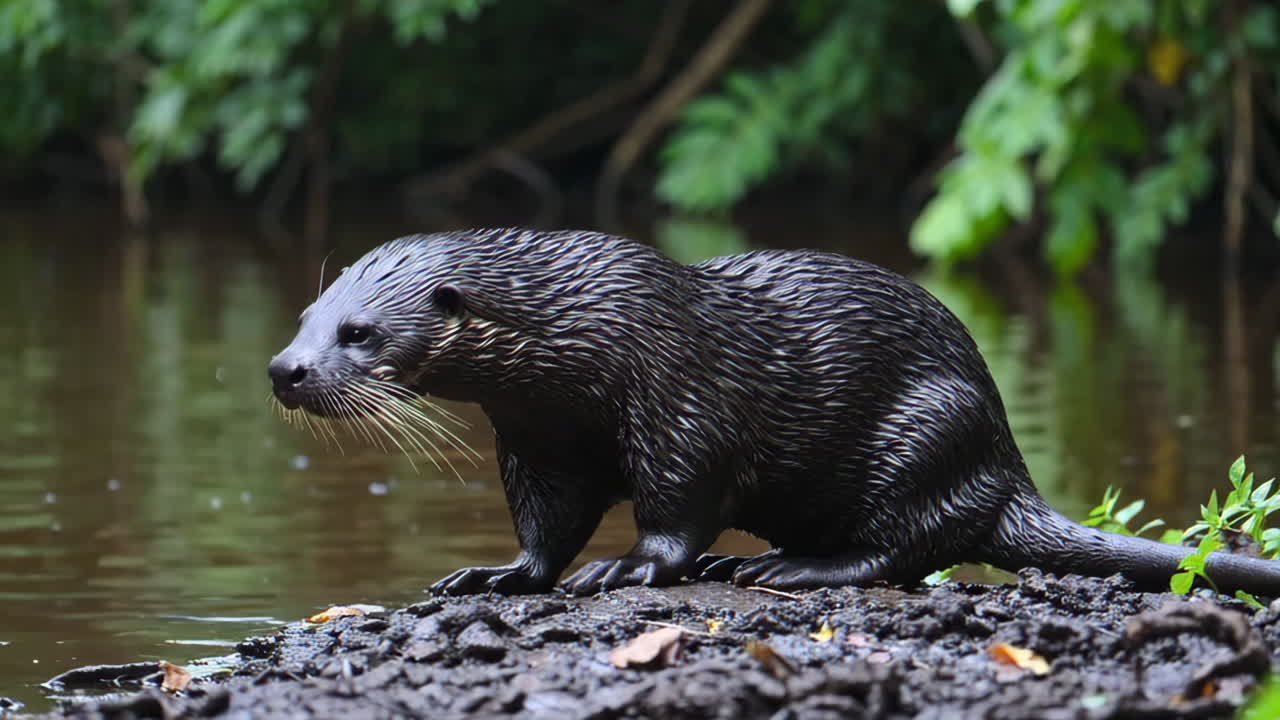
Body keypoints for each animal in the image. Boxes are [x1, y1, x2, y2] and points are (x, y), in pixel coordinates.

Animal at [269, 229, 1280, 597]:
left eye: (358, 333)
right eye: (305, 317)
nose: (285, 369)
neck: (585, 336)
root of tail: (1008, 474)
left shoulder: (678, 396)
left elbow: (678, 502)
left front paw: (627, 569)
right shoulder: (538, 440)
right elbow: (545, 526)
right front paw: (498, 572)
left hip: (927, 427)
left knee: (911, 545)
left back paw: (790, 568)